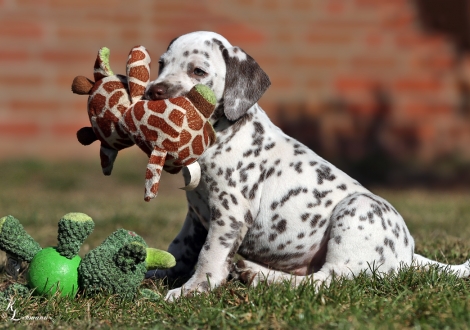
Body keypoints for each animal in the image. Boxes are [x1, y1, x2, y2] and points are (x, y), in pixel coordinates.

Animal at [145, 31, 468, 302]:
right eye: (161, 64)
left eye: (198, 71)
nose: (153, 92)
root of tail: (408, 252)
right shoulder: (196, 216)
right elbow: (179, 249)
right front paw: (155, 273)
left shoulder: (229, 212)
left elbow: (209, 256)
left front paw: (192, 290)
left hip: (356, 212)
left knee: (324, 281)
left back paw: (258, 275)